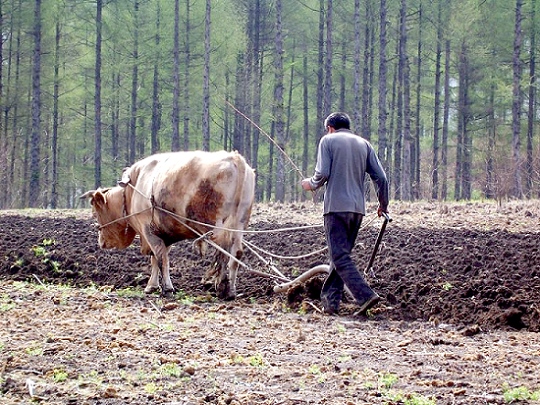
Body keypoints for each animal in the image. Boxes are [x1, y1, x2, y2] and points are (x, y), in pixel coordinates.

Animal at [81, 150, 256, 298]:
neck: (133, 189)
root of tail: (236, 159)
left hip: (219, 227)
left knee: (223, 254)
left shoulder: (148, 230)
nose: (101, 242)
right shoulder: (164, 233)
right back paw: (230, 290)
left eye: (95, 213)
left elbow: (161, 258)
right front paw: (152, 286)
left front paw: (167, 288)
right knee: (236, 254)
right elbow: (156, 259)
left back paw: (221, 287)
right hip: (239, 225)